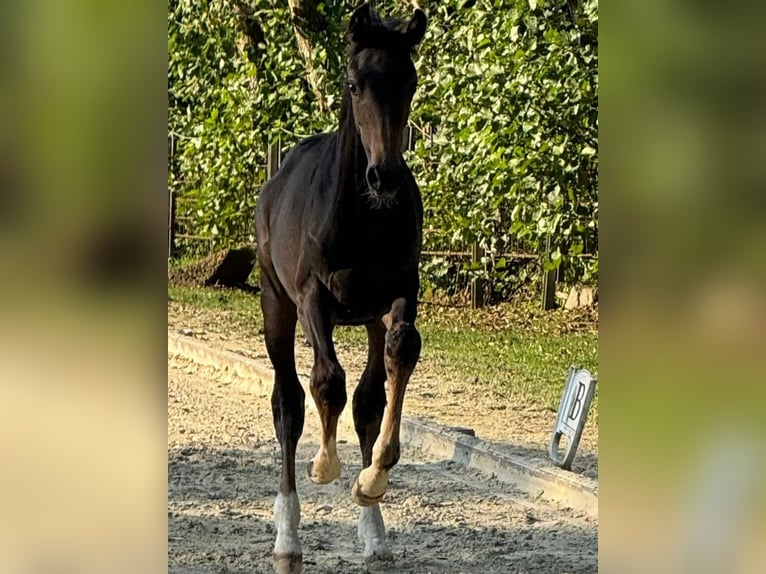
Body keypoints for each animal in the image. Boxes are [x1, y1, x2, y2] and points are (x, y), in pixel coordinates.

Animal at [255, 2, 428, 572]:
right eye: (354, 84)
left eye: (409, 82)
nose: (385, 177)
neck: (363, 217)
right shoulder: (314, 298)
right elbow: (327, 379)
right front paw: (326, 466)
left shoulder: (399, 293)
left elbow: (400, 354)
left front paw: (374, 476)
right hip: (276, 305)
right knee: (288, 402)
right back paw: (288, 535)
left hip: (368, 317)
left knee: (368, 400)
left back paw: (374, 529)